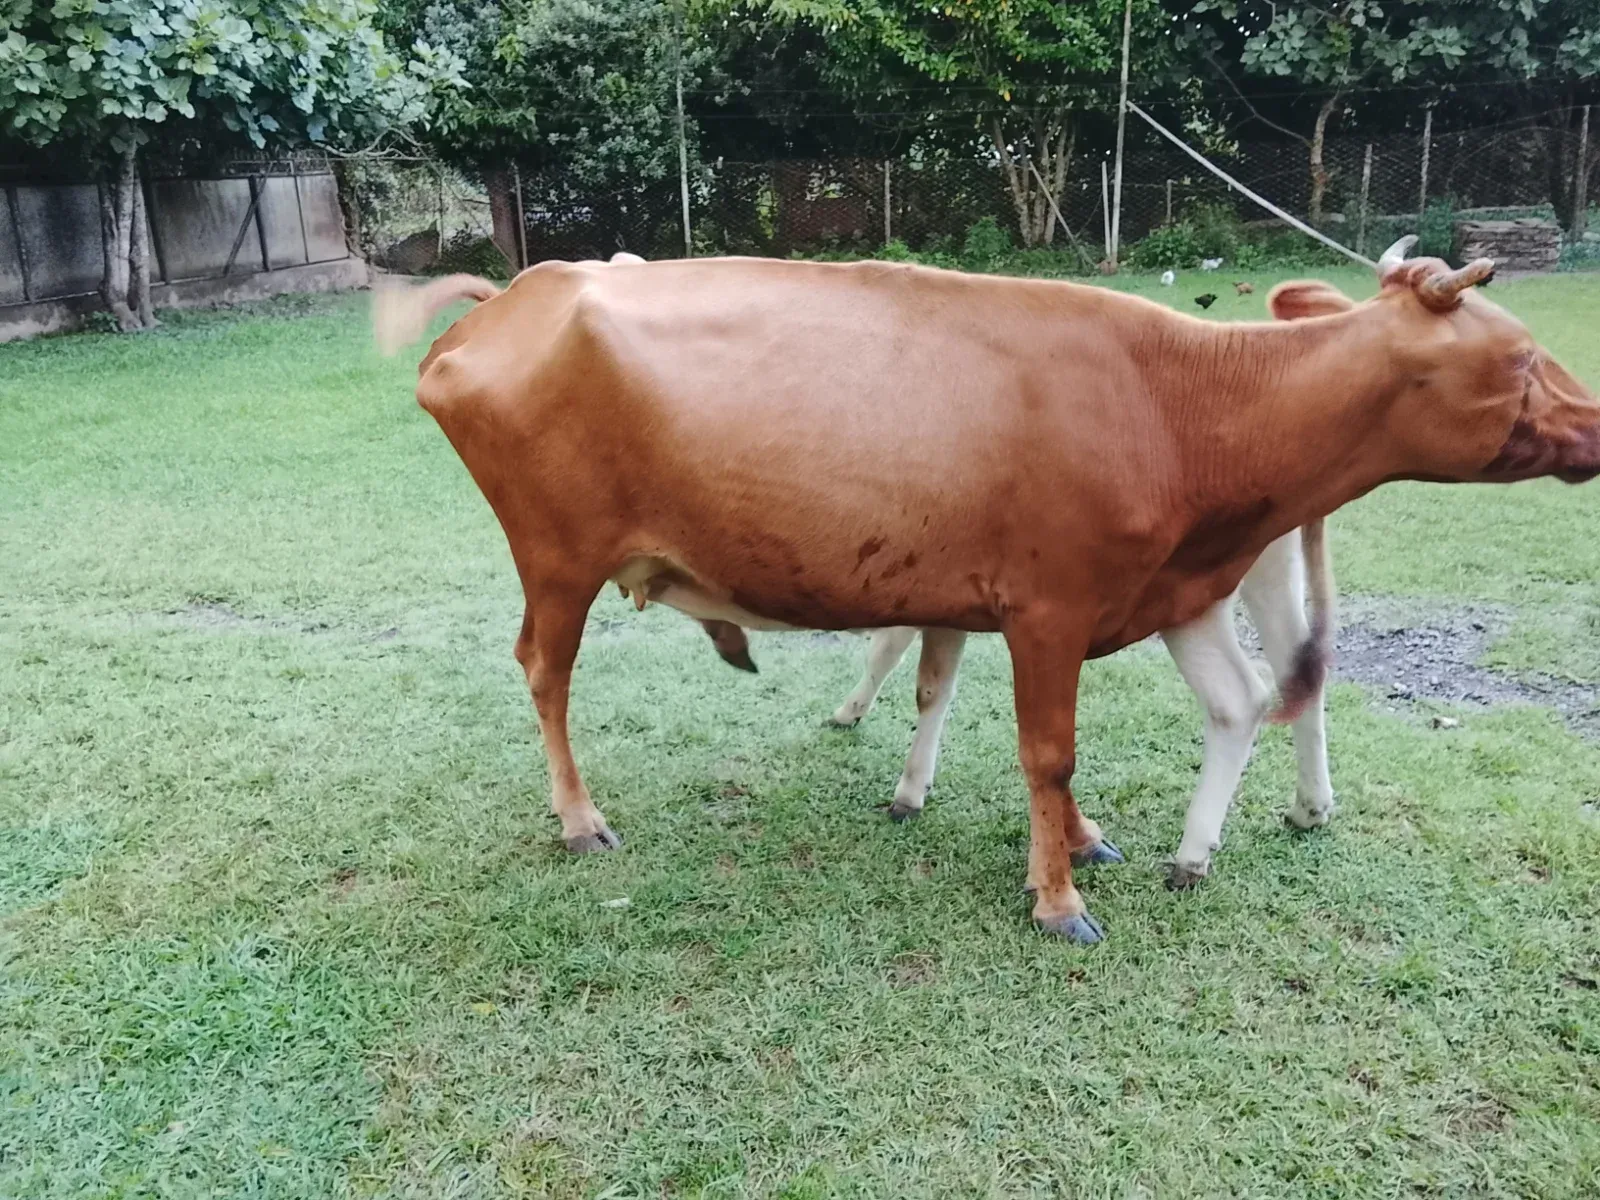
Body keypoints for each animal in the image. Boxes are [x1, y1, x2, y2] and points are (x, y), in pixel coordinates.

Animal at [374, 237, 1600, 942]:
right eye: (1521, 357)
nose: (1594, 423)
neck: (1181, 403)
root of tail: (515, 296)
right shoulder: (1050, 610)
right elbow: (1047, 751)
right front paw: (1058, 898)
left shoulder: (1153, 591)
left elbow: (1172, 720)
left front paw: (1097, 845)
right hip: (558, 557)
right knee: (544, 671)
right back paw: (580, 821)